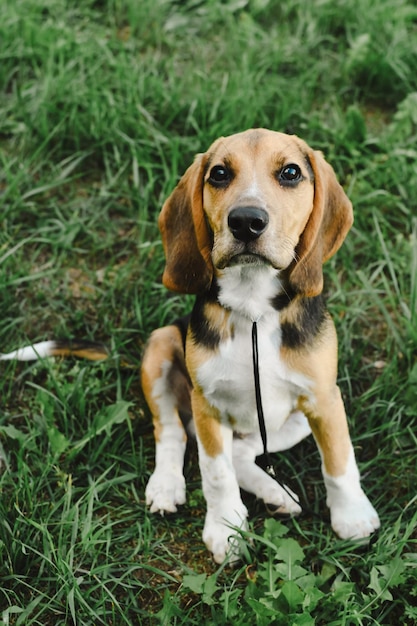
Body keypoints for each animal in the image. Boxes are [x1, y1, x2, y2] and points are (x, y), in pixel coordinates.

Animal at [141, 127, 380, 560]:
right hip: (161, 343)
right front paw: (225, 528)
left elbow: (339, 460)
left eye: (290, 172)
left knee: (241, 452)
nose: (246, 221)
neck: (253, 305)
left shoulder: (324, 397)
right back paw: (166, 486)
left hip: (294, 420)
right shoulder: (207, 405)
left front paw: (352, 516)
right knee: (172, 432)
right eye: (219, 174)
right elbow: (215, 472)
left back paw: (276, 493)